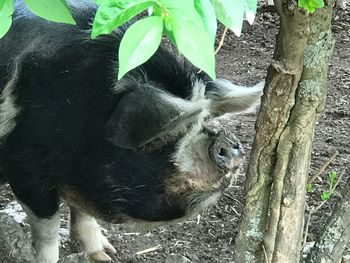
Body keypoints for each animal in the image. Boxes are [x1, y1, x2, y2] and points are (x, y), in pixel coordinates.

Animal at [0, 0, 262, 263]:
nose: (226, 139)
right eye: (160, 137)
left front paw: (105, 255)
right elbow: (48, 230)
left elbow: (82, 211)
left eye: (206, 120)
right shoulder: (25, 167)